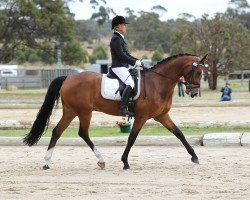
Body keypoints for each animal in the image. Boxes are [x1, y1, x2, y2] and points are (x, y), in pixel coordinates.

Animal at [23, 53, 207, 170]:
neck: (158, 83)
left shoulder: (162, 116)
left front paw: (195, 157)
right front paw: (125, 162)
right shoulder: (142, 117)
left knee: (57, 131)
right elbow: (132, 138)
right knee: (83, 133)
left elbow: (179, 134)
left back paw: (46, 163)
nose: (192, 92)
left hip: (70, 111)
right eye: (198, 72)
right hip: (84, 112)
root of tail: (68, 77)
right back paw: (101, 160)